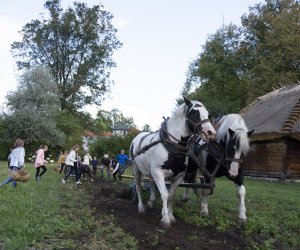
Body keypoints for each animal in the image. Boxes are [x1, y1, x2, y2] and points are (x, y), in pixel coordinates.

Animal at [130, 98, 217, 229]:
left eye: (207, 114)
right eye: (195, 113)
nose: (211, 132)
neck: (172, 145)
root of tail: (137, 137)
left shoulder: (178, 176)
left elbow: (171, 195)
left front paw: (170, 216)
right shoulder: (158, 173)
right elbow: (164, 195)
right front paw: (165, 220)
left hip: (151, 171)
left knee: (151, 184)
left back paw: (151, 202)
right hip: (136, 169)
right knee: (139, 187)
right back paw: (141, 207)